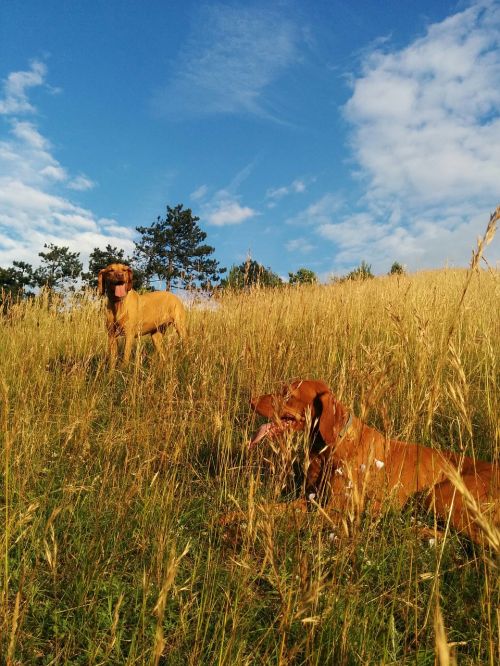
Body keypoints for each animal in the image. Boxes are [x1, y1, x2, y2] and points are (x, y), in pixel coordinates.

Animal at [248, 376, 498, 544]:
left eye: (287, 395)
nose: (251, 400)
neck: (331, 448)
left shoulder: (335, 511)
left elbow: (284, 518)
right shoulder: (311, 500)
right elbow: (268, 508)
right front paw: (241, 515)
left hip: (440, 495)